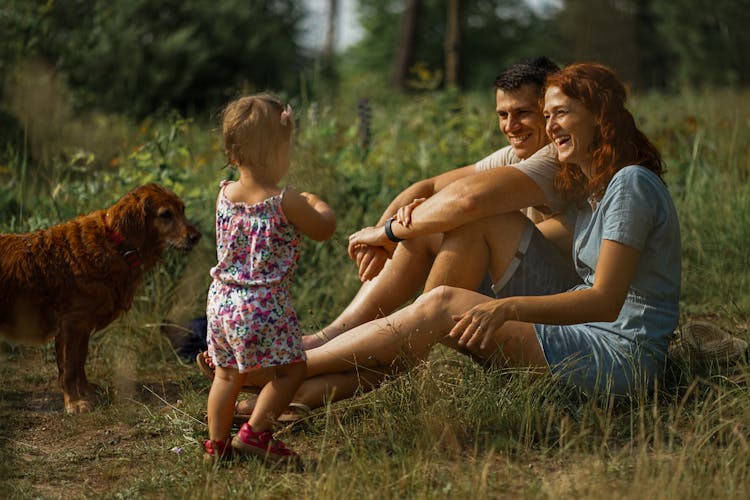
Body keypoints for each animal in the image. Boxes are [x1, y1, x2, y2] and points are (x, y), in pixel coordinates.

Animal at [0, 184, 203, 414]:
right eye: (166, 214)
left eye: (183, 210)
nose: (197, 237)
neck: (115, 244)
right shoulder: (71, 324)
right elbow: (69, 370)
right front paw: (74, 402)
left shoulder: (82, 326)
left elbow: (79, 363)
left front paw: (86, 391)